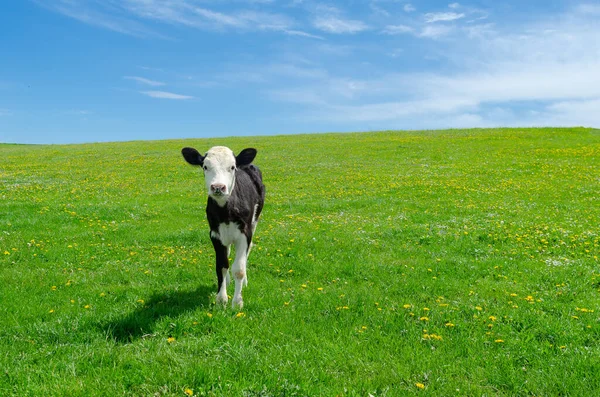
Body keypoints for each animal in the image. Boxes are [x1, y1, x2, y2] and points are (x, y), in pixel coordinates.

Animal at [180, 145, 264, 310]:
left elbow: (239, 269)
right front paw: (221, 299)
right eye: (205, 167)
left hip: (254, 221)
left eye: (232, 167)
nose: (218, 187)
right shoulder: (215, 234)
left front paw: (237, 302)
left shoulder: (245, 233)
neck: (226, 212)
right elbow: (221, 265)